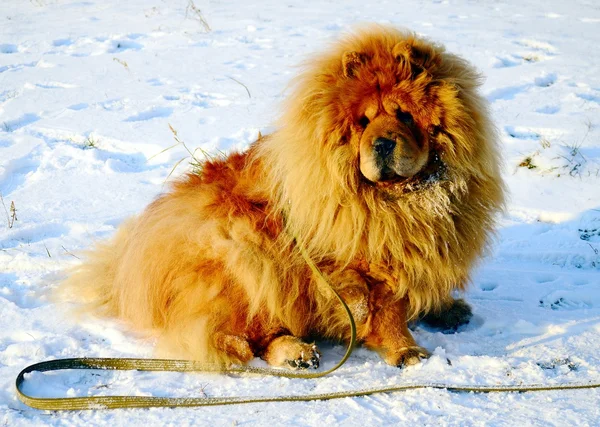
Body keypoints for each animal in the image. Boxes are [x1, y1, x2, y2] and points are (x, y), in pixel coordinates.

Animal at [62, 25, 502, 370]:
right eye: (363, 122)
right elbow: (386, 310)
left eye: (405, 115)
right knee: (244, 337)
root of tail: (128, 267)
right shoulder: (364, 267)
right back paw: (296, 352)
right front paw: (408, 351)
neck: (406, 198)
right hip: (251, 253)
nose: (380, 143)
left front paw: (446, 308)